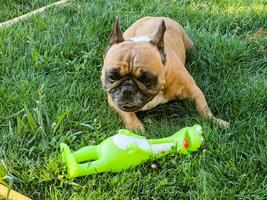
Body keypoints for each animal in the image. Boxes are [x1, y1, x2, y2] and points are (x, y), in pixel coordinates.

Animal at [101, 16, 229, 130]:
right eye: (112, 77)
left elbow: (203, 108)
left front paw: (215, 121)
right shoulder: (113, 100)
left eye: (147, 80)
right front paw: (135, 127)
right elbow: (126, 113)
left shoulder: (193, 90)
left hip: (189, 45)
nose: (127, 90)